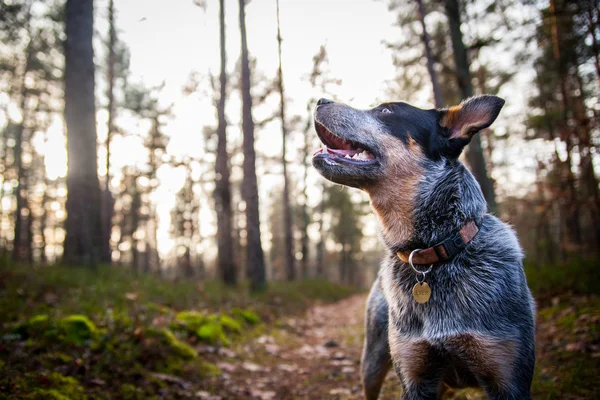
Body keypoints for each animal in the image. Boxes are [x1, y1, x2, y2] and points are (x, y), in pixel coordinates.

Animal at [312, 95, 536, 398]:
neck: (432, 252)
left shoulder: (507, 376)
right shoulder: (416, 374)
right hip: (373, 361)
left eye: (386, 110)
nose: (320, 100)